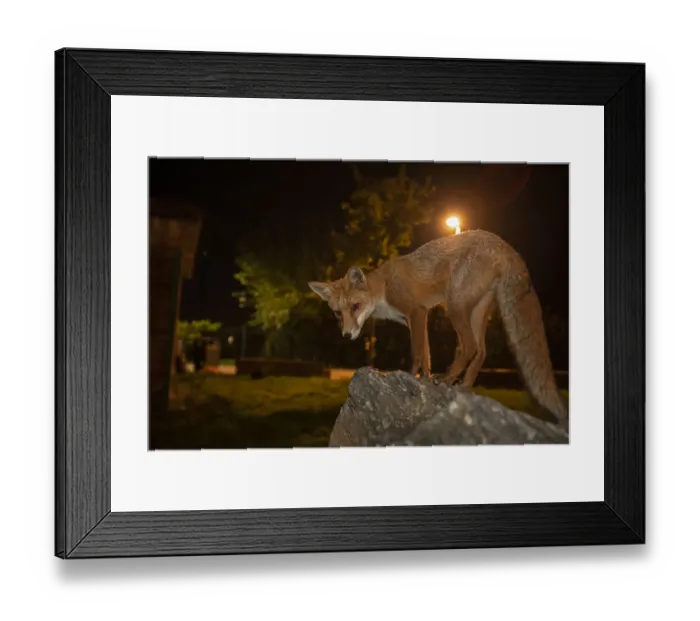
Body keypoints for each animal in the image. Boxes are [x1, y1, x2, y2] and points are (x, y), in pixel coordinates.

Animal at [309, 229, 567, 425]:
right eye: (337, 312)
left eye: (355, 306)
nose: (347, 334)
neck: (383, 287)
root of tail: (505, 245)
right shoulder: (415, 319)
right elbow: (426, 355)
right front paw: (423, 380)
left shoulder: (417, 312)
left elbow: (416, 353)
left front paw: (408, 377)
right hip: (475, 312)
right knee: (481, 351)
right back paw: (463, 387)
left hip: (454, 306)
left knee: (470, 347)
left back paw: (448, 378)